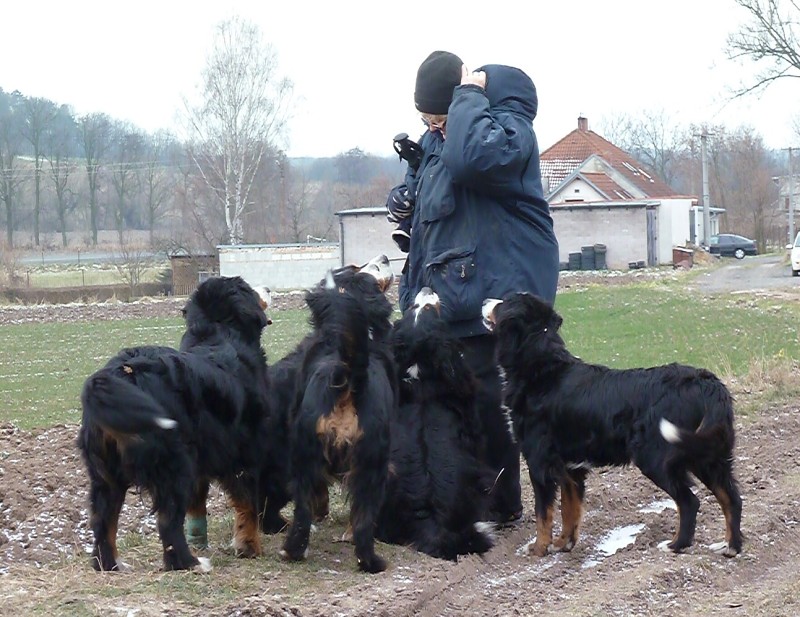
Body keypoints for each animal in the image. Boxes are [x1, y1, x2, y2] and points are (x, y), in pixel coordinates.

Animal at [78, 276, 272, 572]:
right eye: (250, 287)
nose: (269, 288)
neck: (220, 333)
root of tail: (120, 371)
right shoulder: (244, 453)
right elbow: (248, 504)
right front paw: (249, 546)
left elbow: (198, 504)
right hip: (175, 465)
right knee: (168, 522)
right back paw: (190, 563)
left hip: (106, 473)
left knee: (103, 521)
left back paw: (110, 565)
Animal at [280, 270, 398, 572]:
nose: (385, 261)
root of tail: (347, 374)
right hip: (371, 460)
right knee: (361, 516)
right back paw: (369, 560)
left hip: (308, 452)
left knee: (304, 508)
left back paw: (294, 551)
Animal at [482, 292, 744, 560]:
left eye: (503, 302)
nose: (484, 302)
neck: (541, 369)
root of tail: (708, 384)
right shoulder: (570, 469)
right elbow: (569, 510)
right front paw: (564, 543)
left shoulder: (539, 463)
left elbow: (543, 514)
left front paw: (538, 549)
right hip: (708, 456)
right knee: (732, 499)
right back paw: (730, 546)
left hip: (657, 458)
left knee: (690, 502)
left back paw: (676, 545)